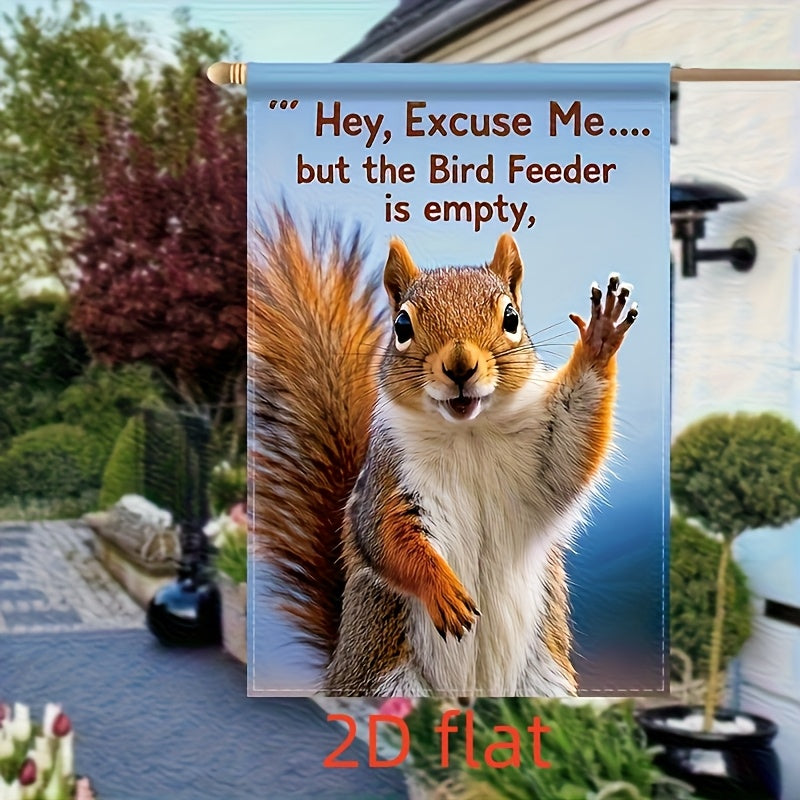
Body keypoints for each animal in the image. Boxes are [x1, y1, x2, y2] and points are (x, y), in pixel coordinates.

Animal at [250, 209, 637, 697]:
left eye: (511, 317)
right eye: (401, 326)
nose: (460, 366)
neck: (467, 433)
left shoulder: (542, 462)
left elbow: (571, 449)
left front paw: (599, 340)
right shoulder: (389, 479)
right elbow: (389, 538)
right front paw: (444, 592)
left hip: (542, 682)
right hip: (387, 680)